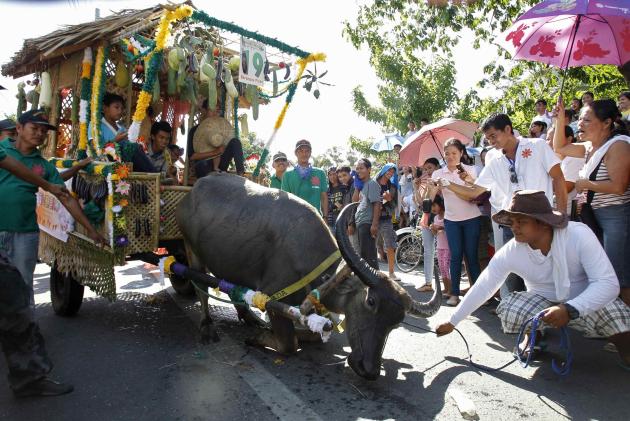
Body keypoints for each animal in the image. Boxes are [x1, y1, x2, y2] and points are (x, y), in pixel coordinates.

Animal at [175, 172, 442, 378]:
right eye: (370, 301)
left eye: (396, 323)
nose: (369, 370)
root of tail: (193, 190)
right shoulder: (273, 297)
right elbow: (288, 345)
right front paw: (259, 336)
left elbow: (313, 334)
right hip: (190, 248)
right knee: (201, 287)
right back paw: (208, 327)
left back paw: (249, 317)